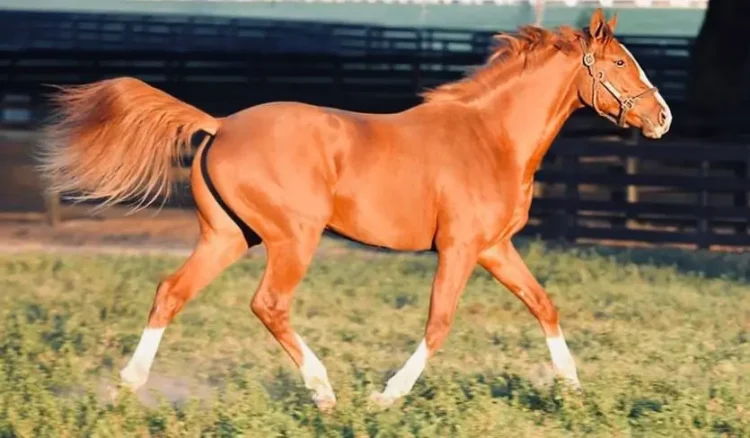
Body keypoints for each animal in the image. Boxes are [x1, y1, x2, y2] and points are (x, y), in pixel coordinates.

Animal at [36, 11, 668, 414]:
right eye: (618, 62)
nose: (661, 118)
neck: (492, 138)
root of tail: (220, 124)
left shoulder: (495, 248)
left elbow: (544, 306)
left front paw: (573, 390)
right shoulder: (460, 248)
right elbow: (439, 323)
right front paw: (386, 396)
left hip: (229, 237)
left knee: (171, 291)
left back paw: (126, 387)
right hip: (294, 238)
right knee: (269, 305)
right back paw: (324, 392)